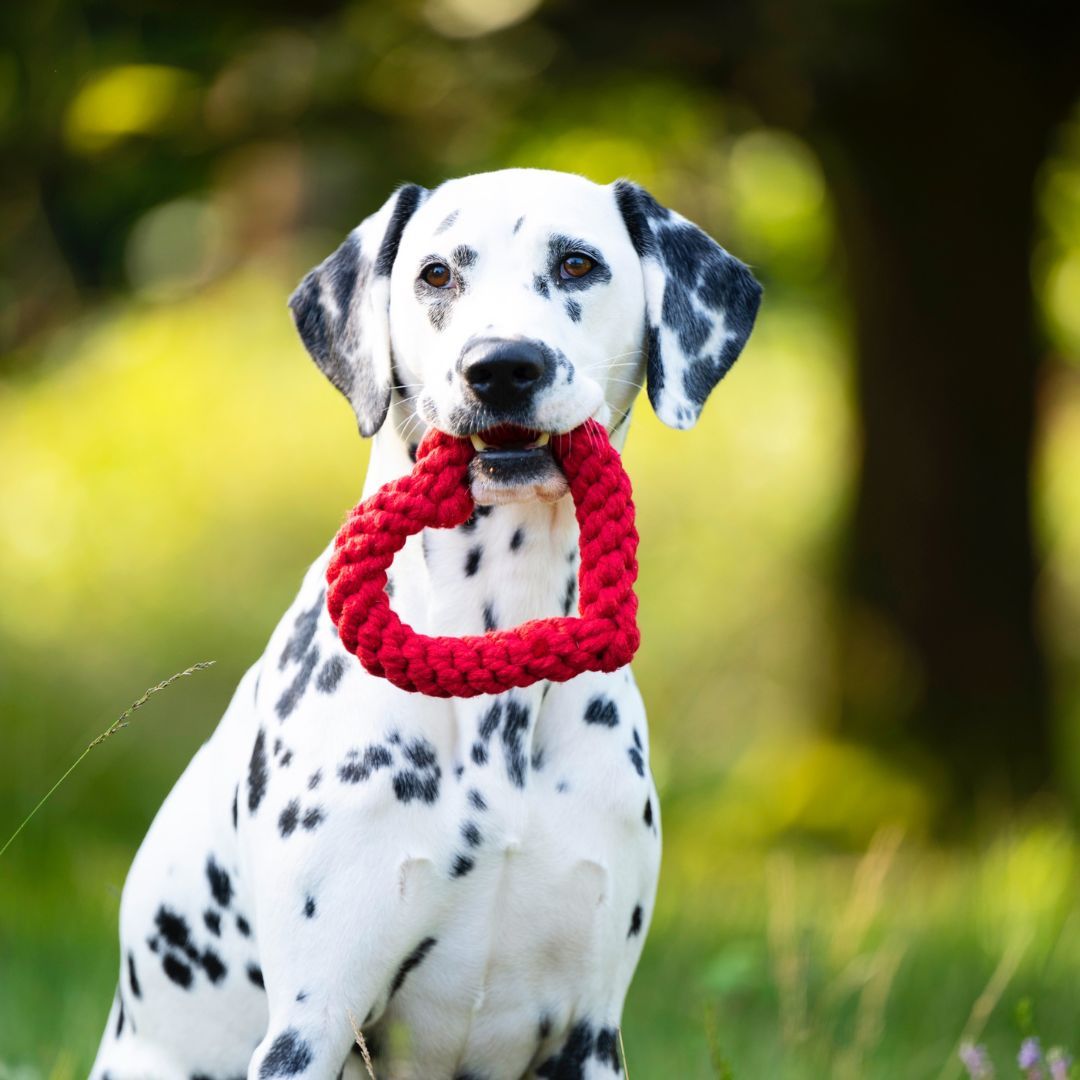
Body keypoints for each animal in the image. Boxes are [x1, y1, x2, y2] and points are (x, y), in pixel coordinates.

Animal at [92, 166, 764, 1080]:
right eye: (437, 273)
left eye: (579, 263)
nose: (502, 367)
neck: (494, 665)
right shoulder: (311, 1023)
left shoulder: (590, 1030)